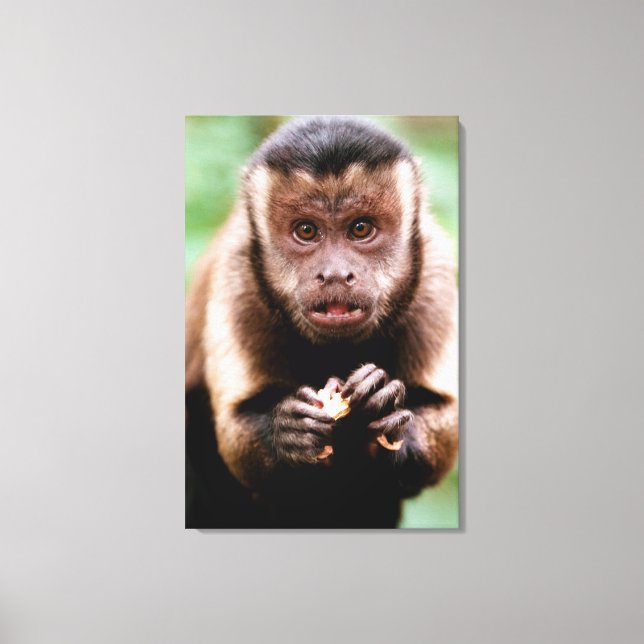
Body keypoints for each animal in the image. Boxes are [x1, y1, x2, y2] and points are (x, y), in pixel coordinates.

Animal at [185, 116, 458, 528]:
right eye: (306, 231)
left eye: (361, 229)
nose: (334, 274)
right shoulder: (239, 276)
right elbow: (234, 432)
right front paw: (287, 432)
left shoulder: (435, 273)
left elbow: (447, 418)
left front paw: (387, 410)